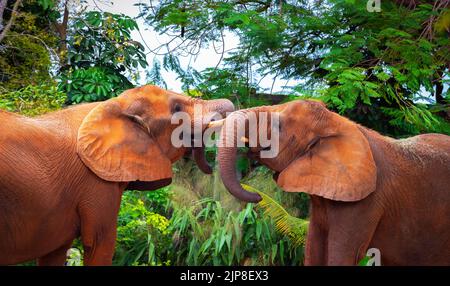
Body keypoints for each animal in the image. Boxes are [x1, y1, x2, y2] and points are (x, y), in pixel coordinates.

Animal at [0, 85, 232, 266]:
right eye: (176, 109)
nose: (211, 168)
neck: (115, 103)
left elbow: (55, 253)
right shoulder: (95, 183)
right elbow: (100, 243)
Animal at [215, 99, 450, 264]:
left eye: (277, 126)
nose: (257, 195)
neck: (336, 123)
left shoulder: (366, 202)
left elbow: (342, 254)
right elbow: (314, 249)